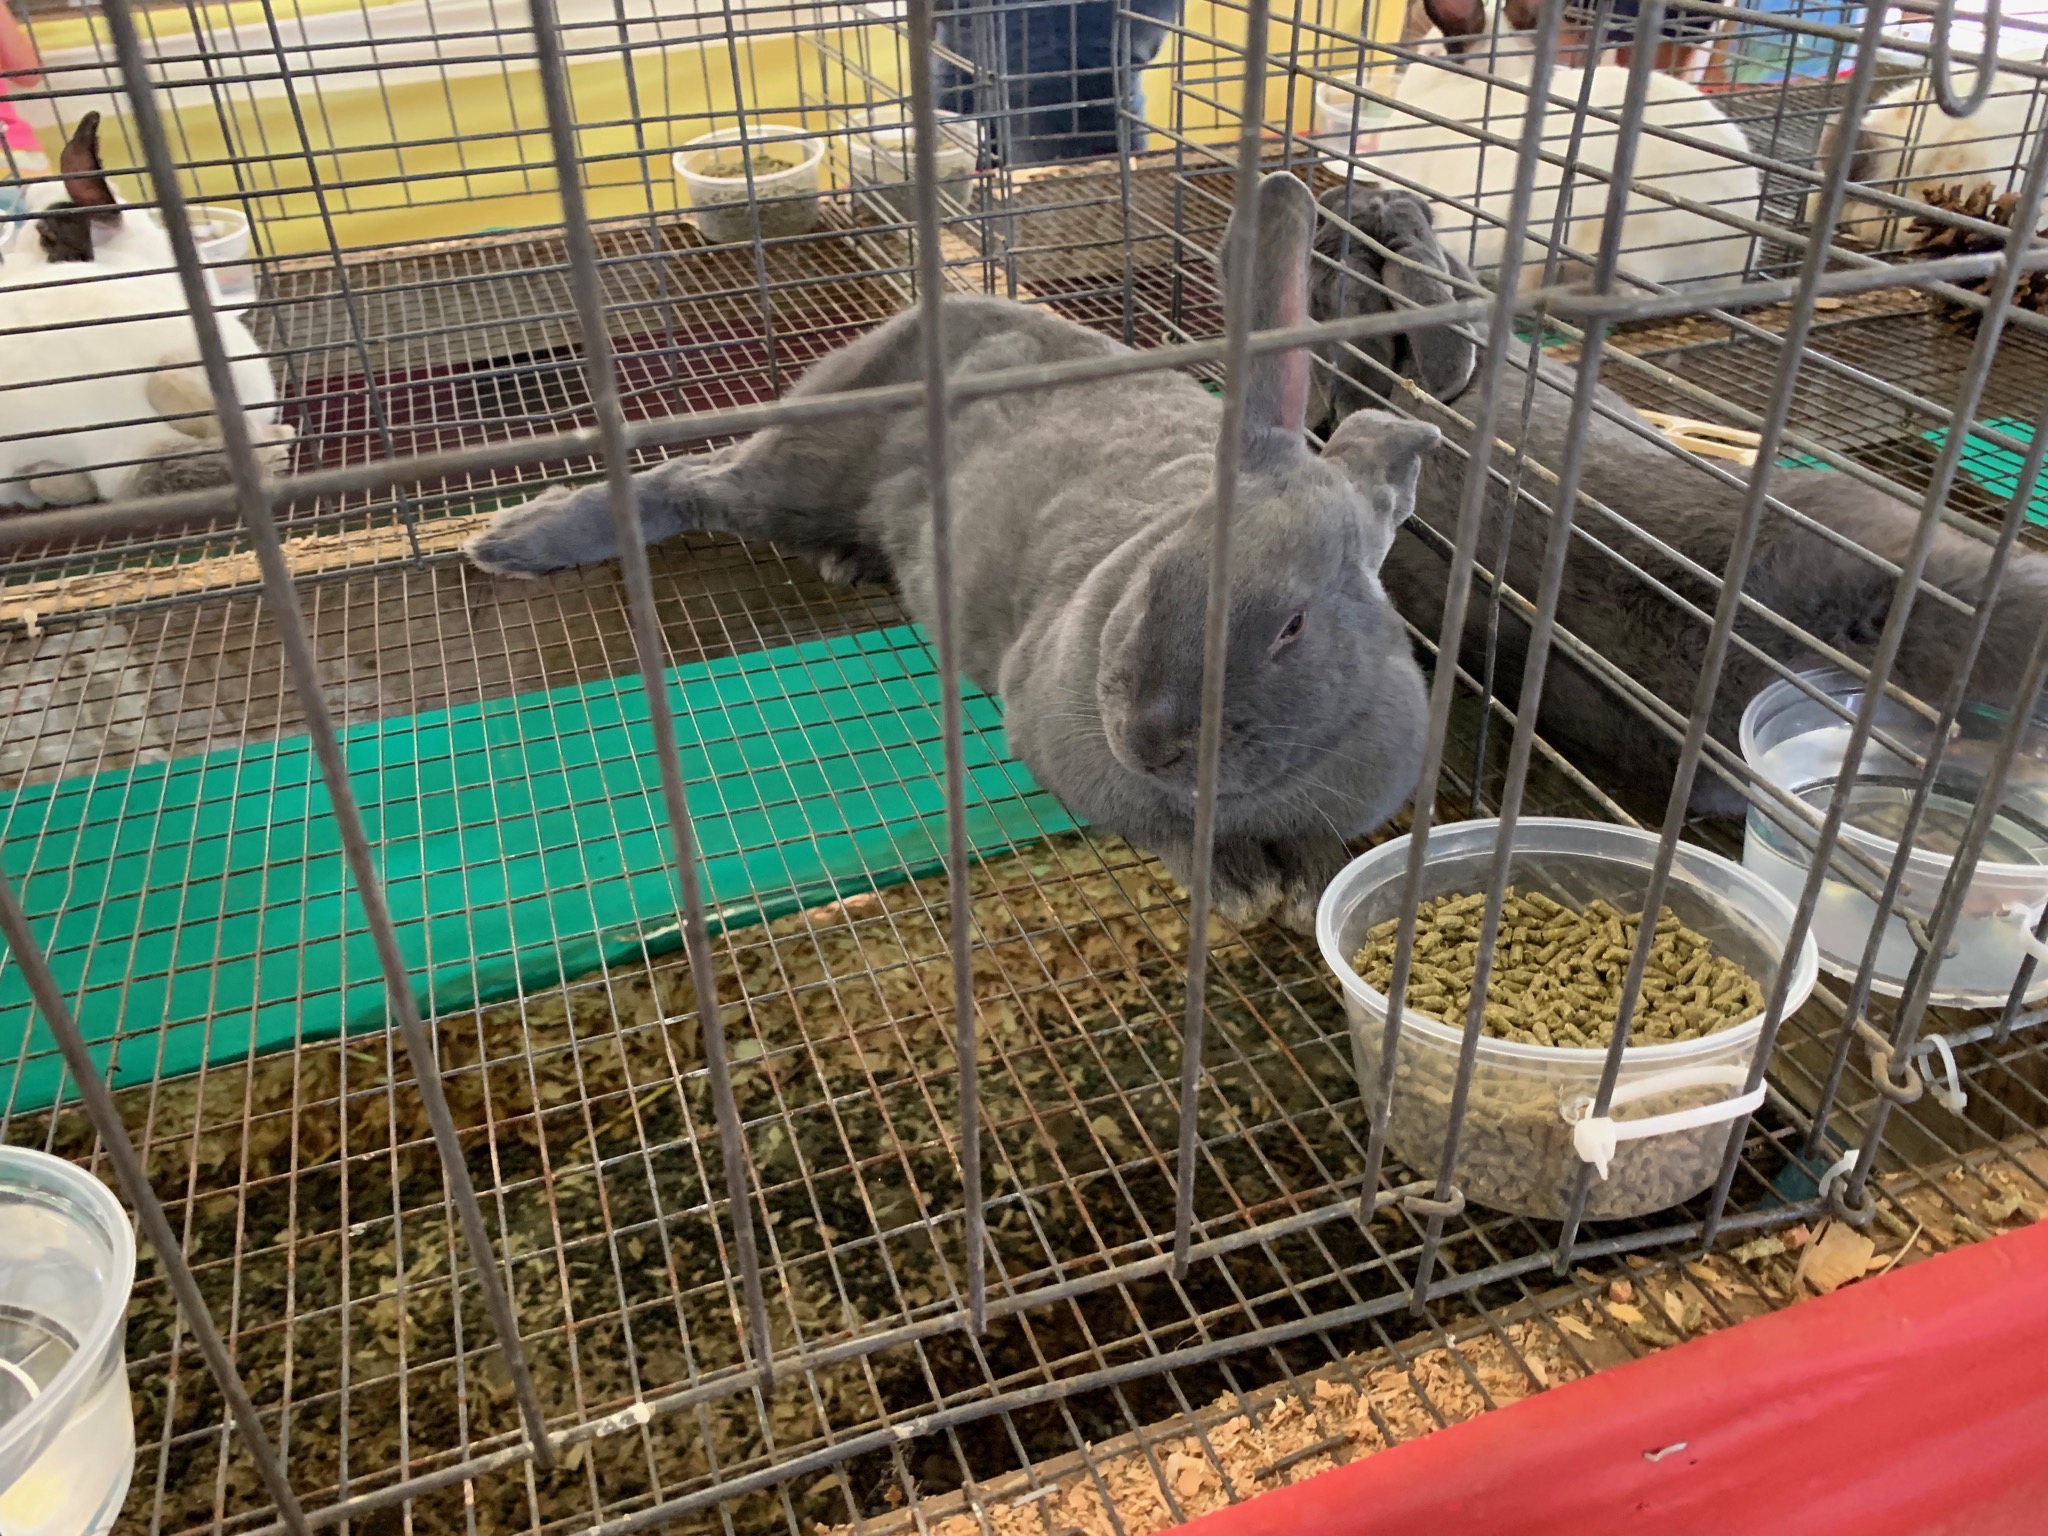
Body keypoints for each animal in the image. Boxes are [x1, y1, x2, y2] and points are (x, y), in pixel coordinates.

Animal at [465, 174, 1442, 929]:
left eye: (1292, 627)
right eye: (1160, 570)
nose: (1148, 740)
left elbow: (1319, 847)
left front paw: (1306, 890)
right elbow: (1162, 833)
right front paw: (1241, 890)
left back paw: (851, 562)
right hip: (804, 462)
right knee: (684, 480)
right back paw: (511, 542)